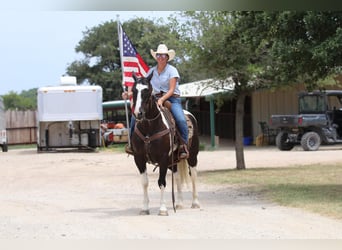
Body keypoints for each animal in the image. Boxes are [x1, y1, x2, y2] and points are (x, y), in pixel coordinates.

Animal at [130, 73, 200, 216]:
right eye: (133, 90)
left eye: (147, 90)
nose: (138, 113)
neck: (149, 128)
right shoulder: (139, 158)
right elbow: (144, 182)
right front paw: (144, 208)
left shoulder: (162, 158)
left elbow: (161, 182)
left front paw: (162, 209)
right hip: (173, 161)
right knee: (177, 177)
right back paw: (179, 204)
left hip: (192, 155)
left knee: (194, 176)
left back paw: (195, 203)